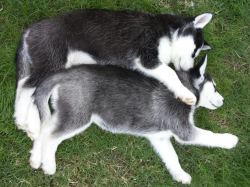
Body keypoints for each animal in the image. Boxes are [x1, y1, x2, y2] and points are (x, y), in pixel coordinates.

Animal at [14, 9, 213, 137]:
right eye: (195, 52)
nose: (189, 69)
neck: (169, 32)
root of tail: (30, 29)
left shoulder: (147, 64)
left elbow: (166, 74)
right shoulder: (146, 57)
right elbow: (170, 72)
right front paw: (186, 94)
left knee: (27, 86)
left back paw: (31, 124)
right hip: (53, 60)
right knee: (28, 88)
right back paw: (22, 119)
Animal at [29, 55, 238, 184]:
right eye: (215, 87)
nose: (224, 100)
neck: (185, 88)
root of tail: (66, 73)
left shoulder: (159, 137)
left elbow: (172, 157)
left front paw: (180, 174)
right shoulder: (183, 129)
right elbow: (209, 135)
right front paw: (230, 140)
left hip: (66, 111)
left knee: (45, 128)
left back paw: (35, 158)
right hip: (78, 116)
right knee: (52, 137)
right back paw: (49, 165)